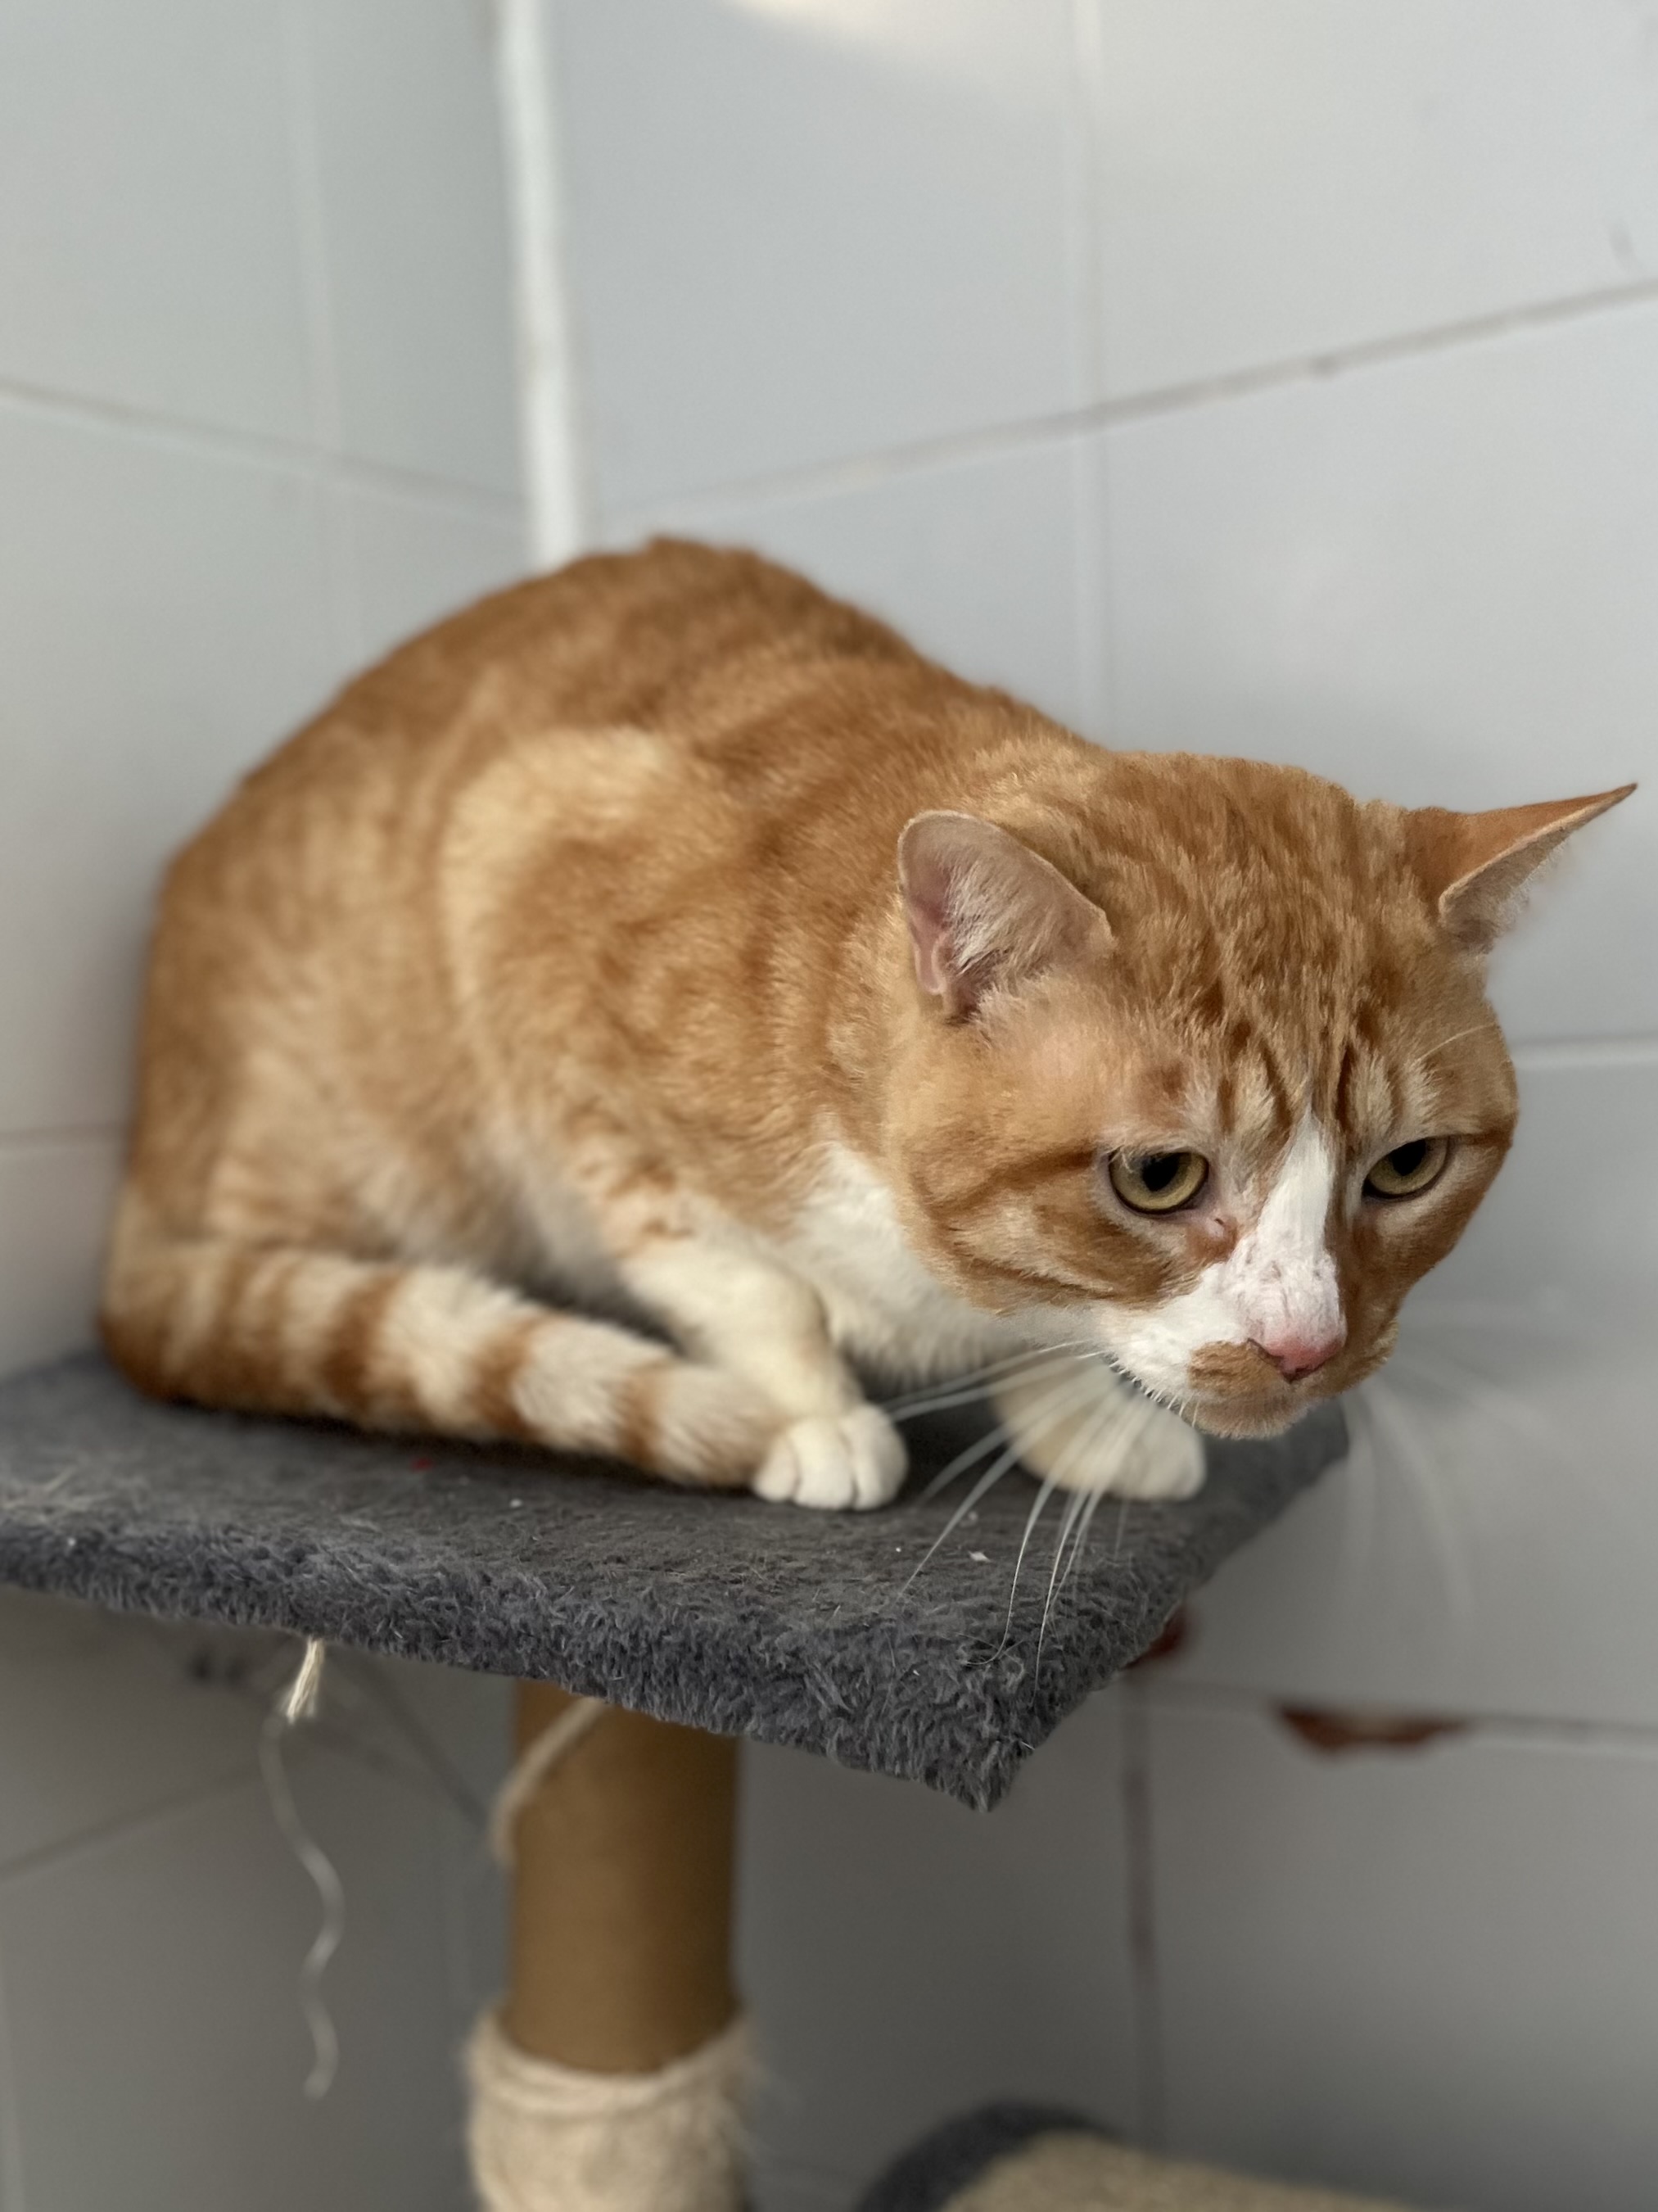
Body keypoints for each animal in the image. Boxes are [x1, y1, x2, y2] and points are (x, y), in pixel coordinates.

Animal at [101, 540, 1630, 1511]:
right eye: (1158, 1176)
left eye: (1407, 1168)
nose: (1310, 1350)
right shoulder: (527, 886)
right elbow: (740, 1282)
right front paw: (809, 1415)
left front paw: (1079, 1416)